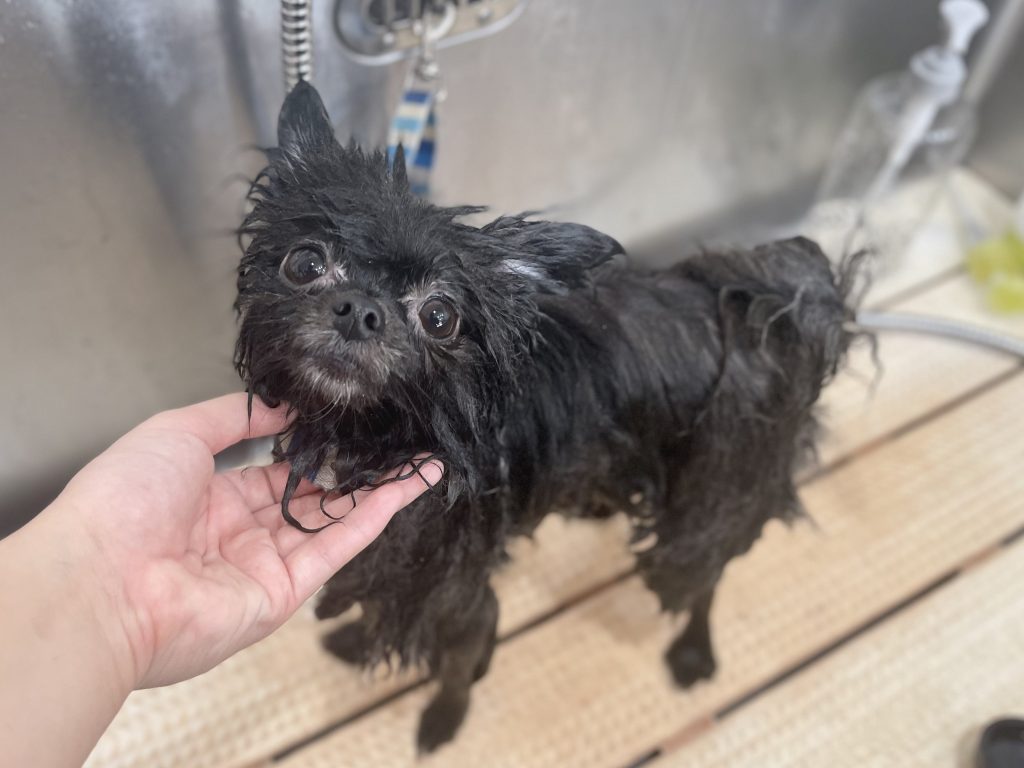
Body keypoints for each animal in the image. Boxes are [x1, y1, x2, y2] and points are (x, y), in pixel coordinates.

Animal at [235, 81, 856, 752]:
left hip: (714, 499)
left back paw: (693, 650)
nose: (360, 310)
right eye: (304, 264)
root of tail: (762, 311)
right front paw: (354, 640)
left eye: (439, 317)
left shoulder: (456, 592)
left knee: (702, 579)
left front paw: (444, 719)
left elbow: (459, 662)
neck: (375, 434)